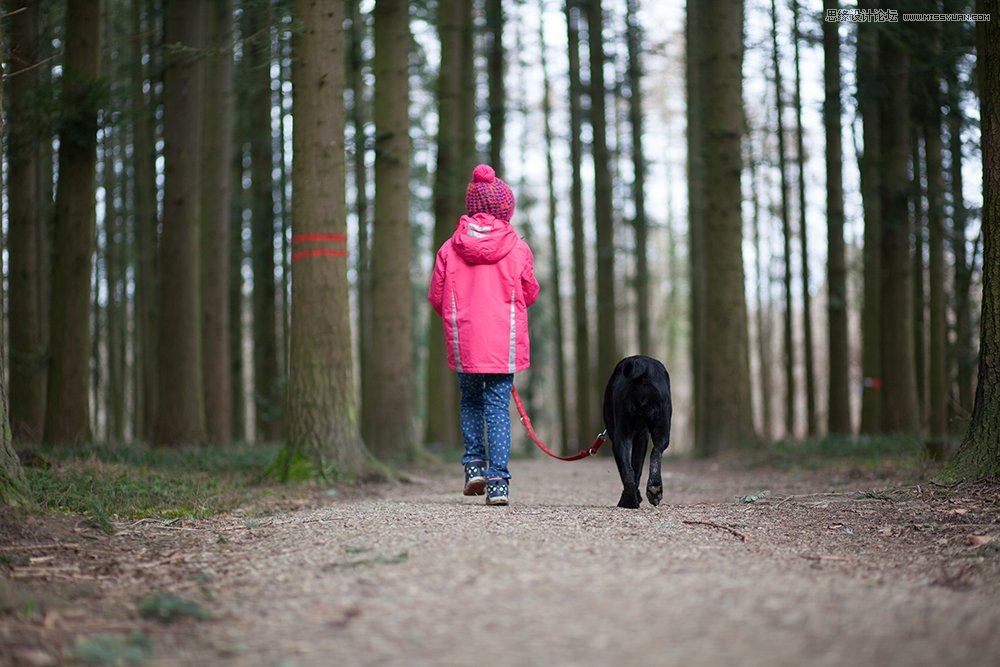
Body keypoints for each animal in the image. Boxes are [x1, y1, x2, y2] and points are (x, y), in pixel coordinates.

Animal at [600, 358, 672, 508]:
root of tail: (644, 367)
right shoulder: (641, 436)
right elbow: (636, 468)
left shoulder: (635, 437)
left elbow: (632, 469)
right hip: (660, 428)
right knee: (655, 453)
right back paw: (651, 490)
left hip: (622, 435)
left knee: (628, 470)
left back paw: (630, 500)